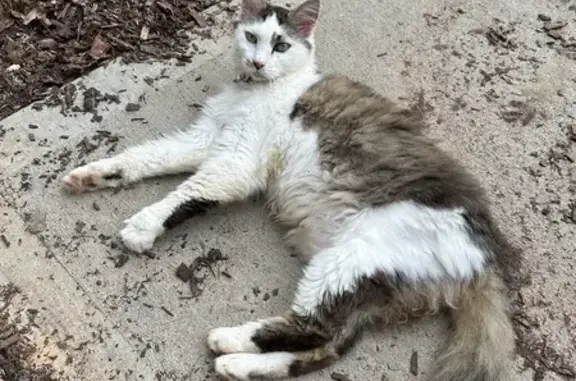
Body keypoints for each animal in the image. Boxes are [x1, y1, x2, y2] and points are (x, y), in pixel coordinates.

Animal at [60, 0, 516, 380]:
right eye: (251, 37)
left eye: (280, 45)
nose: (258, 62)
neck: (255, 89)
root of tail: (487, 256)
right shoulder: (205, 139)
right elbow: (146, 156)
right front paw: (92, 175)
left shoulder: (234, 161)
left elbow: (185, 194)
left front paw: (143, 226)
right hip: (361, 284)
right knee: (326, 347)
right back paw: (239, 366)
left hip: (348, 260)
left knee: (310, 328)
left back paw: (228, 341)